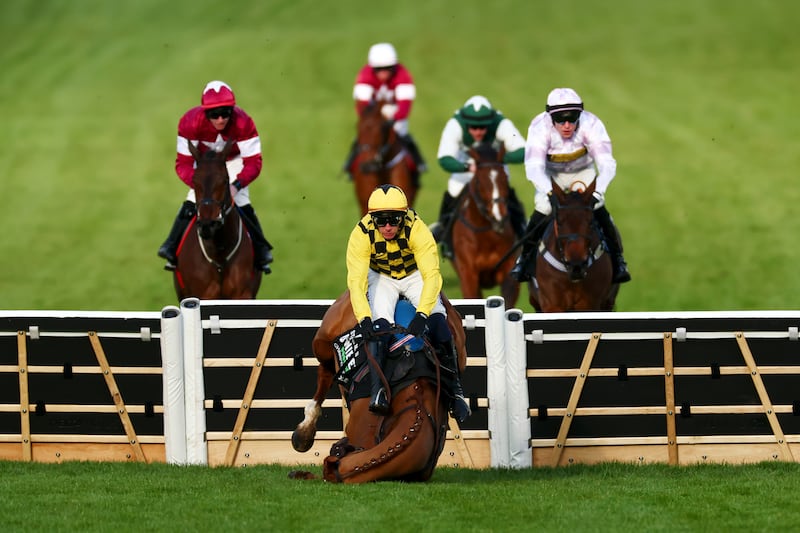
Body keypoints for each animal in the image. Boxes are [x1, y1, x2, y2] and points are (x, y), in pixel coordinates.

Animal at [175, 139, 262, 300]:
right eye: (194, 180)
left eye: (225, 180)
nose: (207, 225)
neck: (219, 253)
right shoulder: (201, 295)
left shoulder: (242, 295)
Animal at [450, 143, 520, 306]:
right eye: (479, 181)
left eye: (505, 178)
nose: (499, 218)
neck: (487, 238)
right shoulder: (468, 276)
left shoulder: (509, 273)